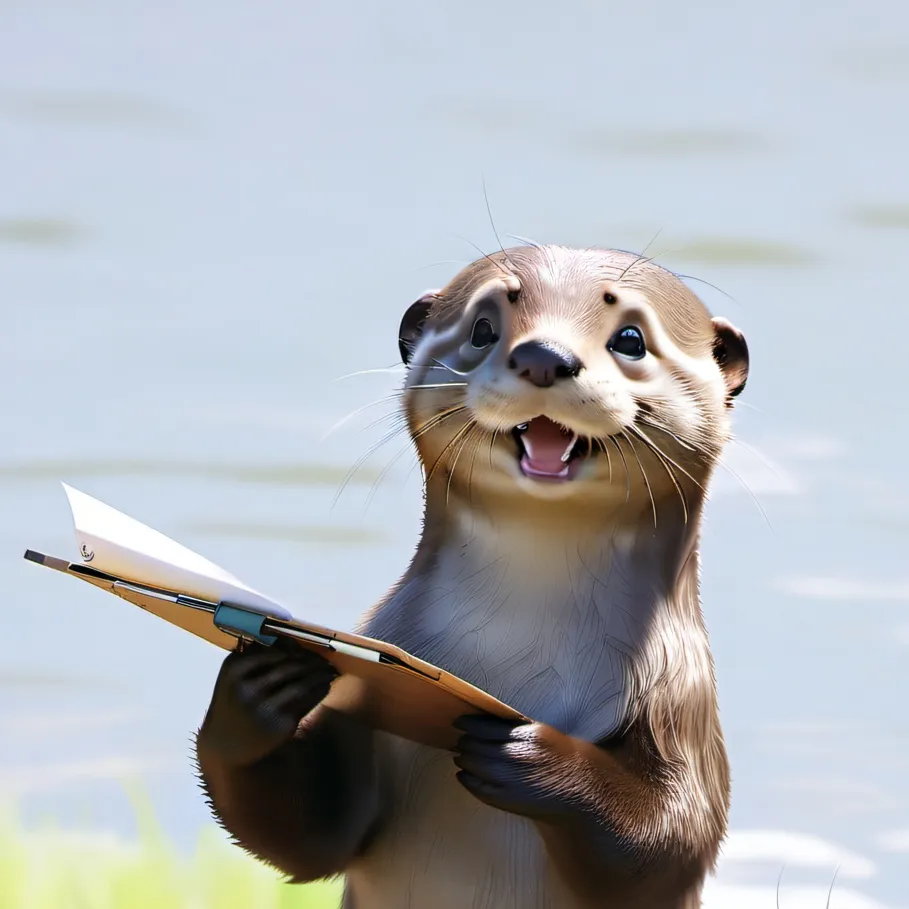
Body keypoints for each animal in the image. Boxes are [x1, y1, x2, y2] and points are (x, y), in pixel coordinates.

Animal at [194, 244, 749, 909]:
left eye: (631, 339)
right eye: (484, 328)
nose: (544, 356)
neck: (521, 646)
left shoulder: (681, 703)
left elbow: (670, 840)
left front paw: (532, 755)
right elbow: (315, 838)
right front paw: (262, 685)